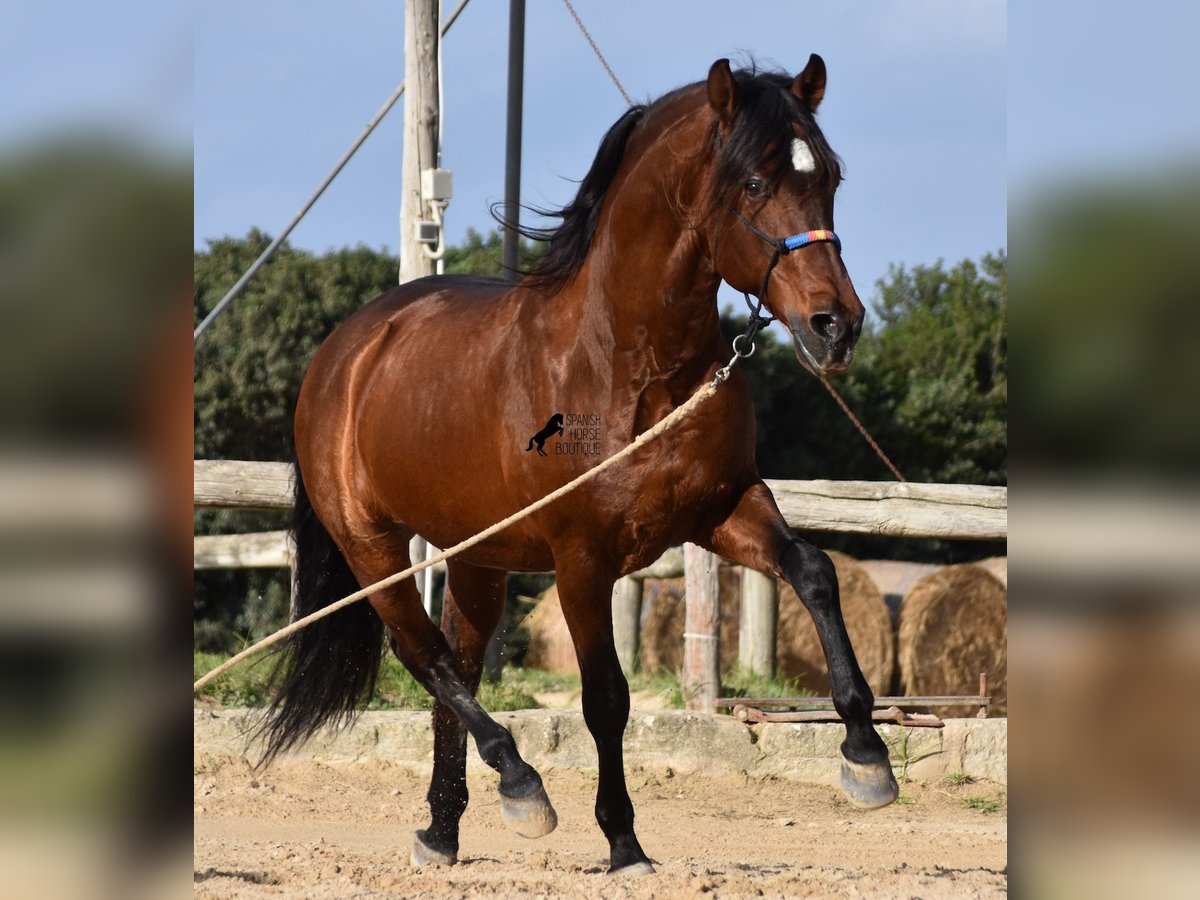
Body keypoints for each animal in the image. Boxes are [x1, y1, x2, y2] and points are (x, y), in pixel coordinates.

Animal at [265, 56, 902, 873]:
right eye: (756, 183)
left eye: (828, 176)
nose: (836, 326)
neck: (630, 365)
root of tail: (344, 351)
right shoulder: (581, 559)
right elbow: (605, 697)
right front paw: (624, 842)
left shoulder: (723, 507)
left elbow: (815, 572)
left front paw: (867, 756)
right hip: (372, 546)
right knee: (424, 655)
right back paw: (520, 785)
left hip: (477, 559)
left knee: (457, 668)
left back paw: (442, 831)